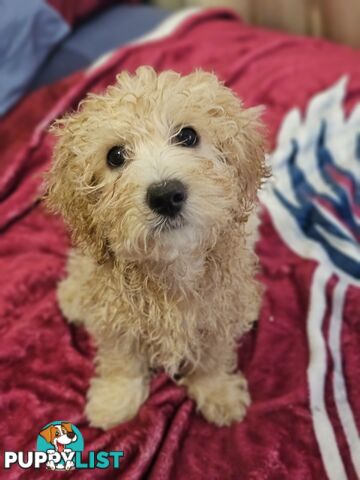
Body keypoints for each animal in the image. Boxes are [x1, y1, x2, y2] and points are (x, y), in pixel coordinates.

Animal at [45, 65, 268, 430]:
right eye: (115, 156)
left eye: (188, 136)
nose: (165, 195)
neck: (172, 265)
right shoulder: (116, 314)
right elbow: (121, 358)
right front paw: (114, 401)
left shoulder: (218, 313)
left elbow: (213, 356)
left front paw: (218, 392)